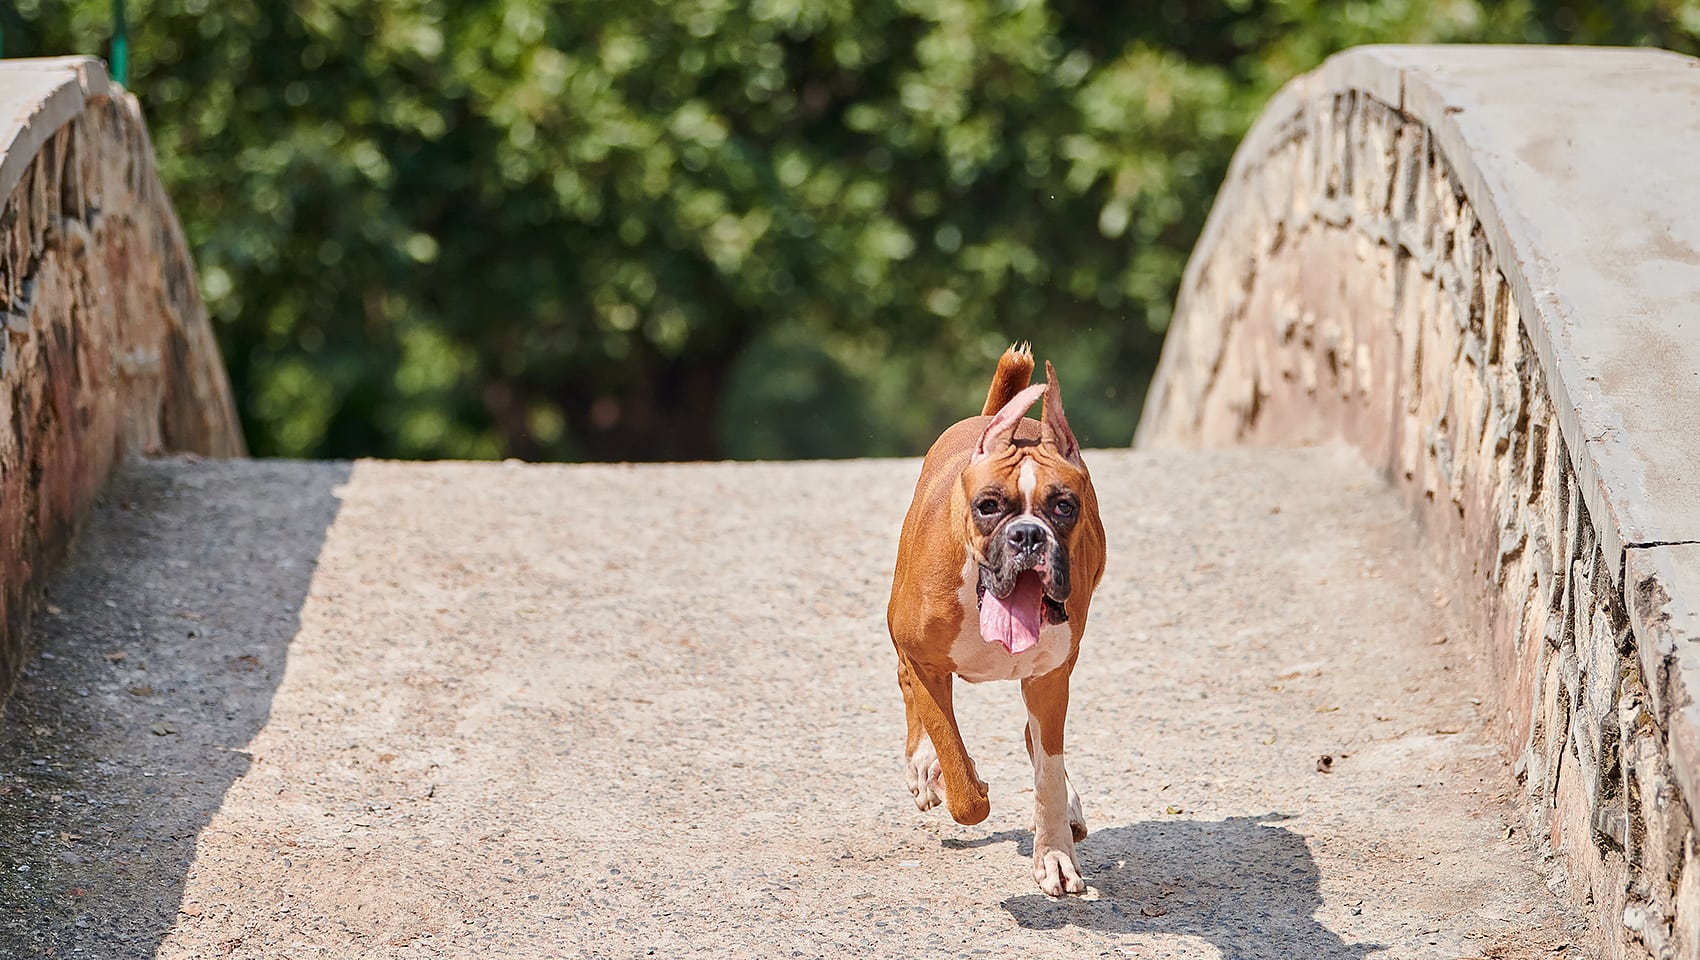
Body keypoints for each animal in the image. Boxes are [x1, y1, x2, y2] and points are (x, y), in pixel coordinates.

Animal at [884, 339, 1108, 897]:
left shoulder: (1049, 679)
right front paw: (954, 775)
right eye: (988, 506)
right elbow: (962, 783)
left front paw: (1054, 853)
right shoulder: (926, 664)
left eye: (1065, 506)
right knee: (905, 685)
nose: (1027, 536)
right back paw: (924, 767)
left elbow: (1047, 773)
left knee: (1036, 741)